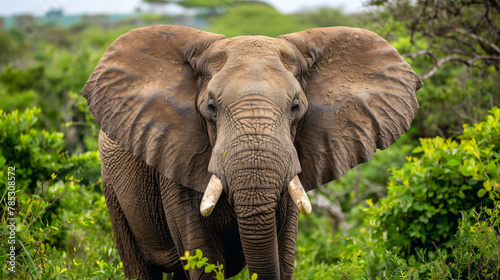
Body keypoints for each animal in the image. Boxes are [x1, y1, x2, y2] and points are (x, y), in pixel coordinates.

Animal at [81, 24, 422, 280]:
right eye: (211, 107)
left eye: (296, 107)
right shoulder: (175, 157)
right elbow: (204, 258)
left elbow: (283, 255)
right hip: (113, 192)